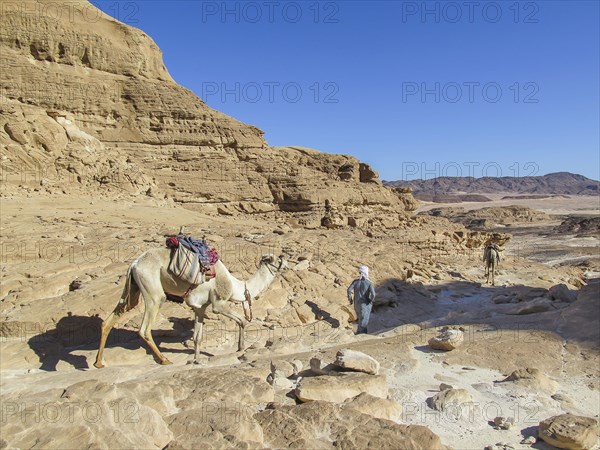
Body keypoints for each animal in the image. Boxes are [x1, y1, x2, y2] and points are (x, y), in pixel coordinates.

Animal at [94, 250, 288, 370]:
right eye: (278, 260)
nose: (287, 264)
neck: (236, 287)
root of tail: (134, 264)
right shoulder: (218, 303)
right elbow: (241, 320)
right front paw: (241, 347)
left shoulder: (200, 307)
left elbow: (197, 337)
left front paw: (196, 359)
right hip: (152, 290)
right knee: (145, 328)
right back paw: (164, 359)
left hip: (133, 288)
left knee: (112, 318)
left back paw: (98, 363)